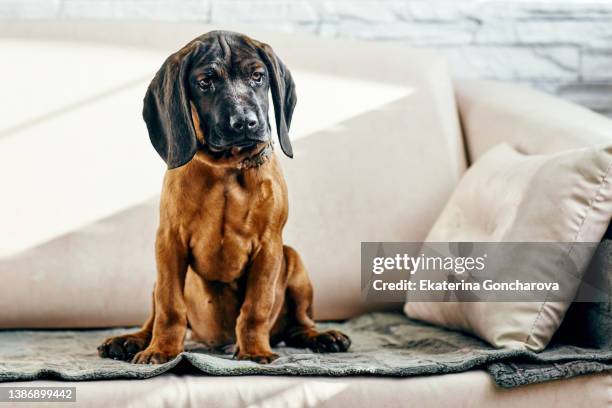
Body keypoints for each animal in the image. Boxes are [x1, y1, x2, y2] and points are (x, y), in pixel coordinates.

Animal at [98, 31, 352, 364]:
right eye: (206, 82)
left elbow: (256, 305)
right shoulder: (169, 242)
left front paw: (255, 351)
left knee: (298, 324)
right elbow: (169, 306)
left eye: (258, 76)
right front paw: (161, 349)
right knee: (153, 316)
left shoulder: (269, 246)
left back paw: (322, 336)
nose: (244, 122)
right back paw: (131, 340)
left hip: (293, 259)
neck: (227, 169)